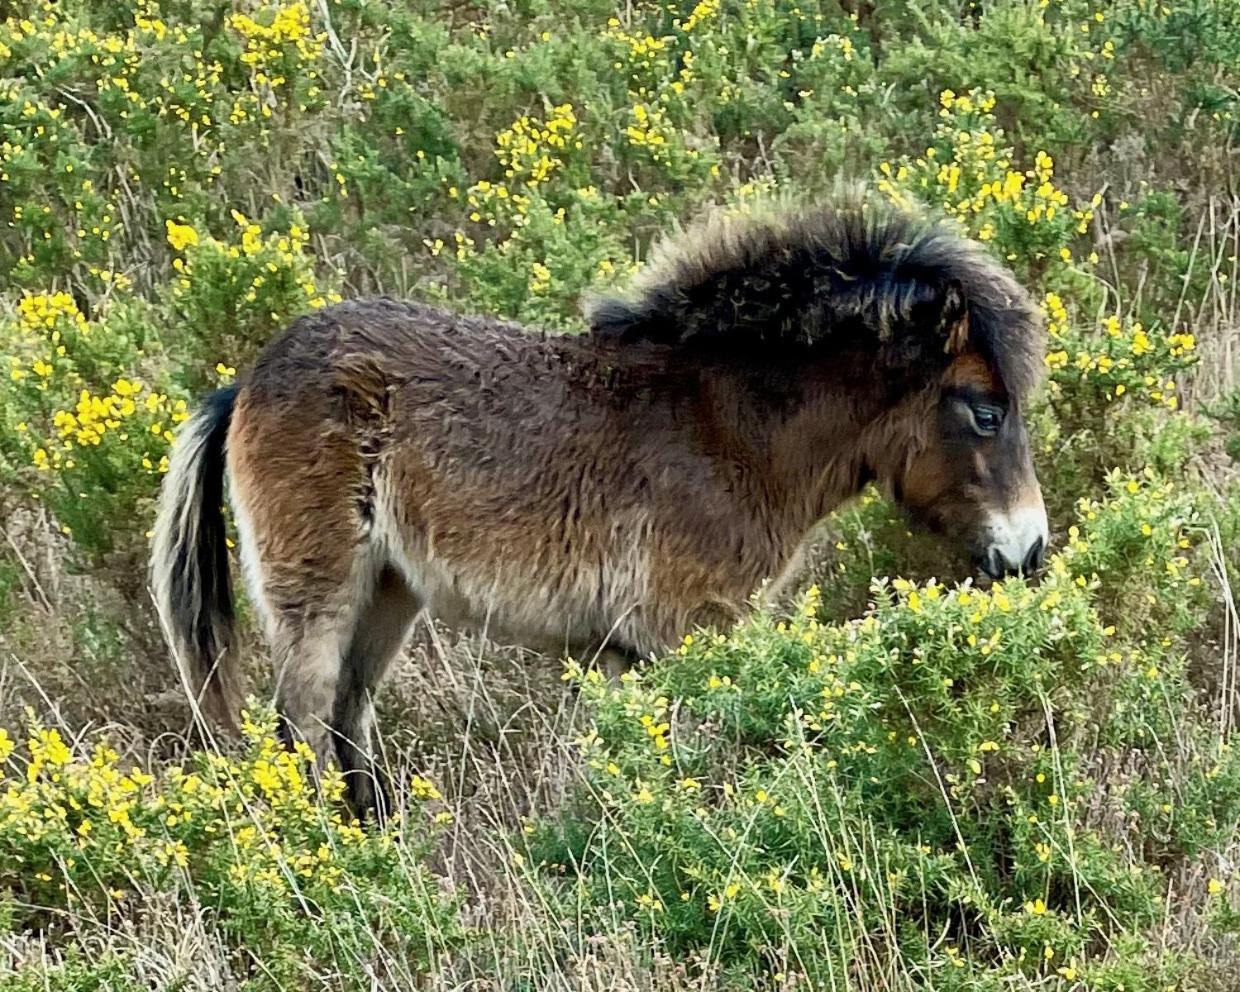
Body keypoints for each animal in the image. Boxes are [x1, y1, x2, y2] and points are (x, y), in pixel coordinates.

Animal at [152, 193, 1046, 813]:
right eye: (985, 411)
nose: (1030, 550)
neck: (727, 427)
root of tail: (246, 381)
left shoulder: (623, 651)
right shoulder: (684, 634)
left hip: (390, 590)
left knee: (347, 713)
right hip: (319, 588)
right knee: (302, 721)